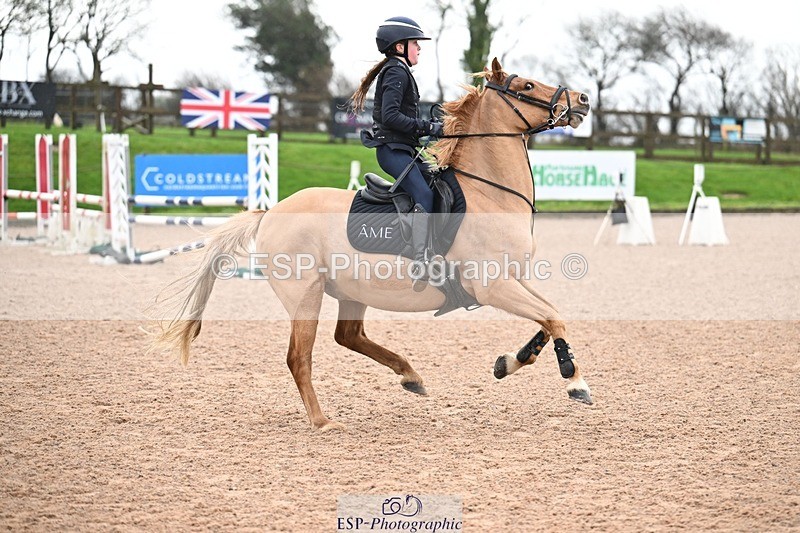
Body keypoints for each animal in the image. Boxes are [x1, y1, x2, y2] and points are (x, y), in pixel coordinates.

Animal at [152, 58, 593, 432]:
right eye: (527, 85)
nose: (583, 101)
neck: (488, 194)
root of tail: (271, 212)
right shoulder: (493, 287)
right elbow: (553, 319)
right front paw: (575, 382)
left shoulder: (513, 280)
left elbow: (550, 316)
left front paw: (508, 363)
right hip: (306, 295)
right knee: (300, 357)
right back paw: (322, 421)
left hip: (352, 290)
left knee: (348, 336)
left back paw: (410, 376)